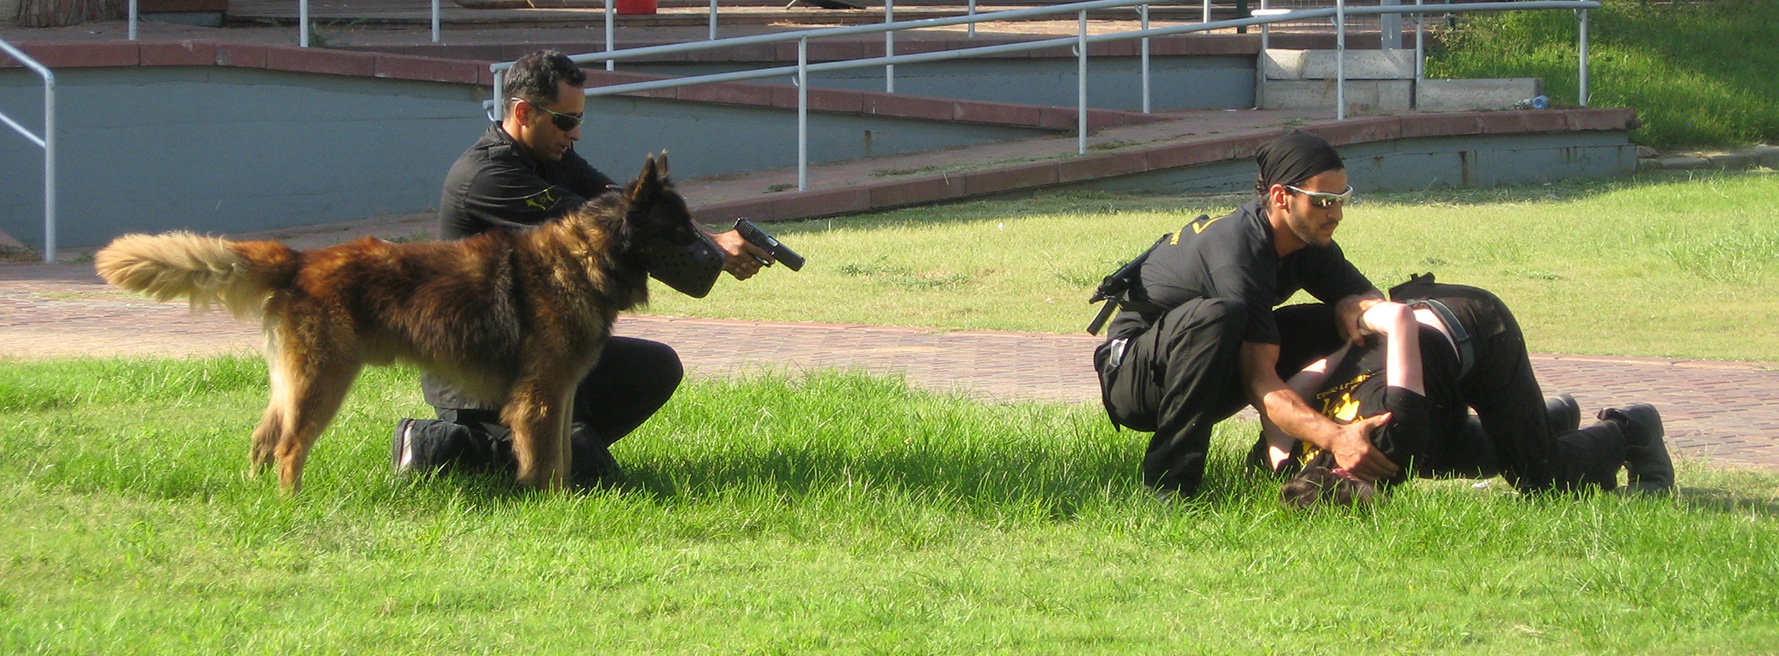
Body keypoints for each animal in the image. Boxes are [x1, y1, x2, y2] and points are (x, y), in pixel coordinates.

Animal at [95, 154, 693, 490]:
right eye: (681, 228)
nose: (707, 250)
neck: (586, 254)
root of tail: (300, 260)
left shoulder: (560, 392)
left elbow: (564, 453)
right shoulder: (541, 397)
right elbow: (548, 461)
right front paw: (552, 504)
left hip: (293, 384)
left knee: (263, 441)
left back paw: (258, 497)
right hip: (324, 381)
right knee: (288, 448)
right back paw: (292, 504)